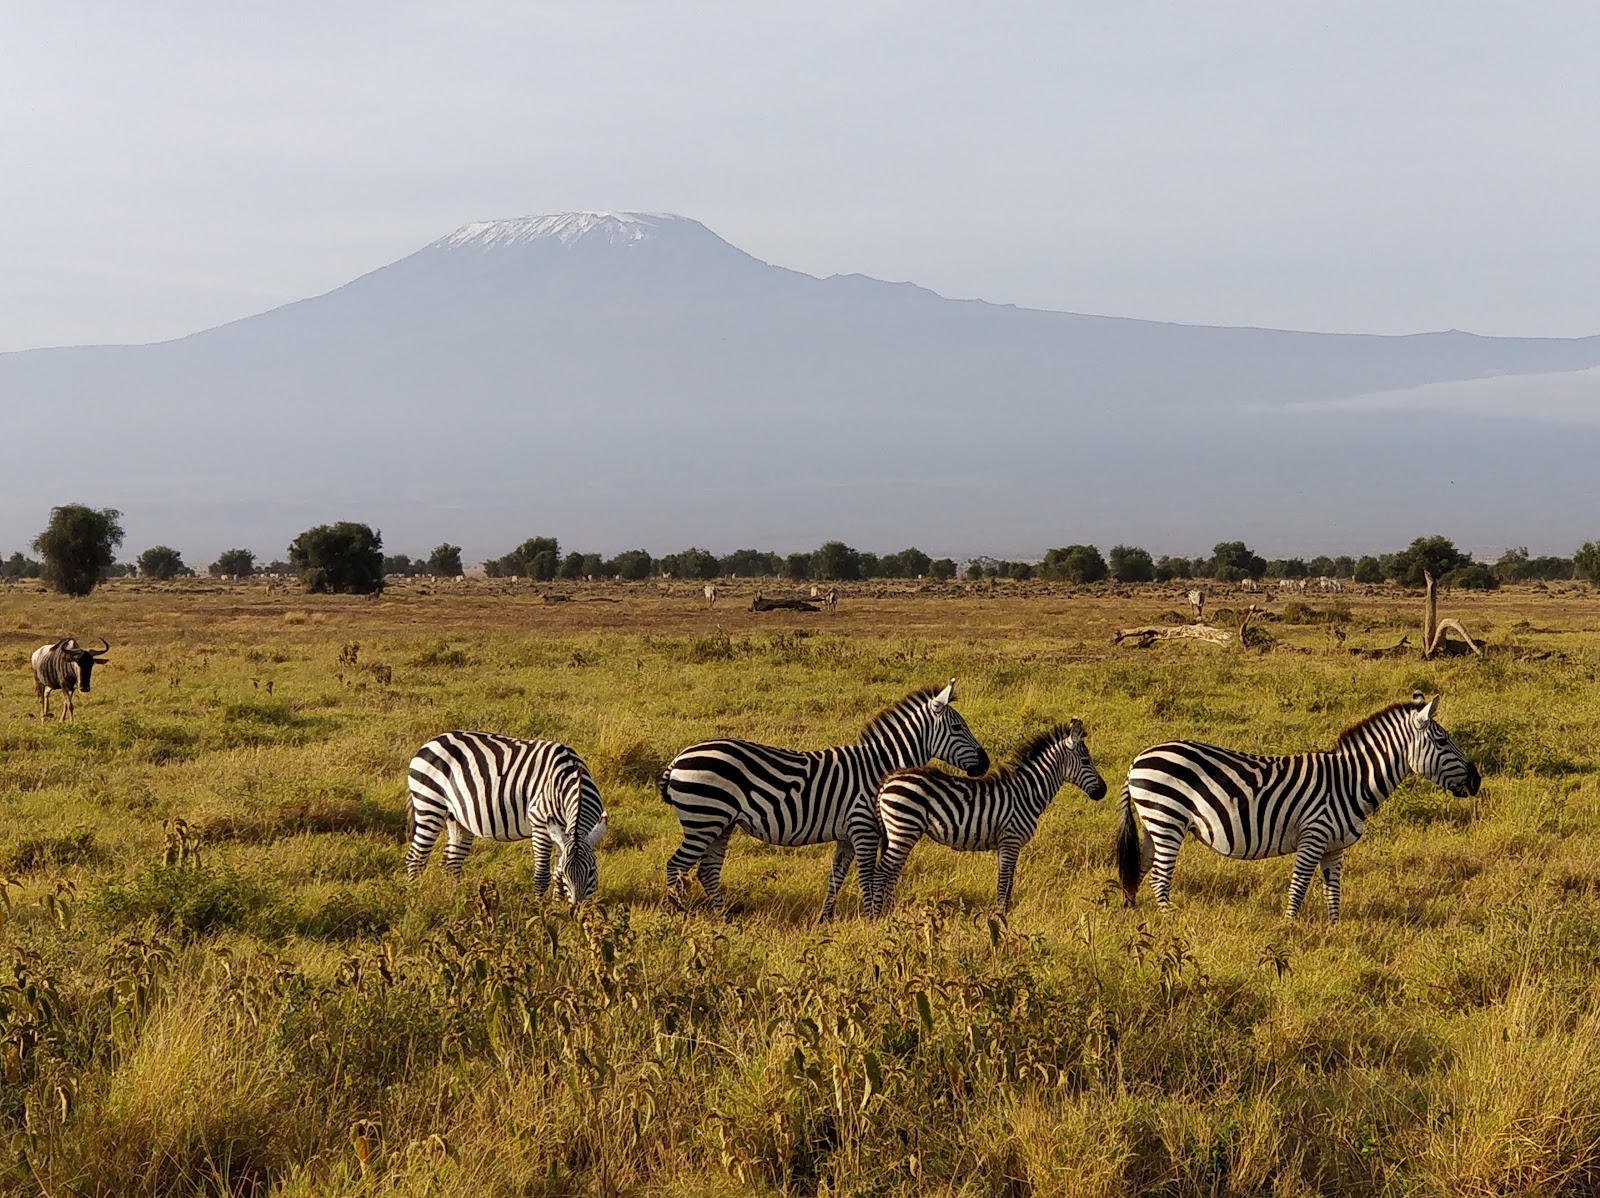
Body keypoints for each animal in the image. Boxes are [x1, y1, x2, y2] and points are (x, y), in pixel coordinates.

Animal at [409, 732, 608, 902]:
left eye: (592, 871)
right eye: (569, 874)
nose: (577, 911)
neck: (571, 779)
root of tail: (432, 741)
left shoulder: (561, 832)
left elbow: (556, 870)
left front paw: (558, 907)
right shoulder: (540, 823)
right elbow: (543, 875)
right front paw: (541, 912)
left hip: (455, 817)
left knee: (452, 862)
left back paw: (455, 898)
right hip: (429, 804)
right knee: (416, 857)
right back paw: (415, 897)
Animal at [659, 678, 985, 921]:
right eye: (958, 728)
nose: (985, 762)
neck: (878, 767)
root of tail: (678, 759)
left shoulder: (847, 835)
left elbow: (836, 876)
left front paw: (825, 918)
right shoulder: (864, 829)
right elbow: (866, 876)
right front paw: (871, 919)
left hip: (721, 824)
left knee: (707, 871)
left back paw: (725, 918)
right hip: (703, 819)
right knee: (676, 865)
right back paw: (677, 915)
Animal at [870, 719, 1107, 914]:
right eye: (1086, 761)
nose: (1103, 791)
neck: (1027, 793)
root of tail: (888, 780)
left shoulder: (1005, 844)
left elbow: (1006, 880)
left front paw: (1002, 913)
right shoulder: (1011, 840)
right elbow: (1005, 881)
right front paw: (1001, 916)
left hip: (901, 832)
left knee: (891, 871)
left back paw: (891, 912)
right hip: (904, 827)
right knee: (881, 871)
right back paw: (877, 917)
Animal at [1120, 687, 1478, 921]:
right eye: (1443, 741)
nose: (1477, 780)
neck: (1350, 782)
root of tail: (1138, 759)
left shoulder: (1335, 846)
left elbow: (1333, 891)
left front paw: (1334, 930)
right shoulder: (1313, 835)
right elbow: (1299, 886)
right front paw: (1288, 927)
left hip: (1154, 823)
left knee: (1141, 866)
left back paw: (1132, 914)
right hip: (1167, 819)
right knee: (1159, 876)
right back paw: (1169, 922)